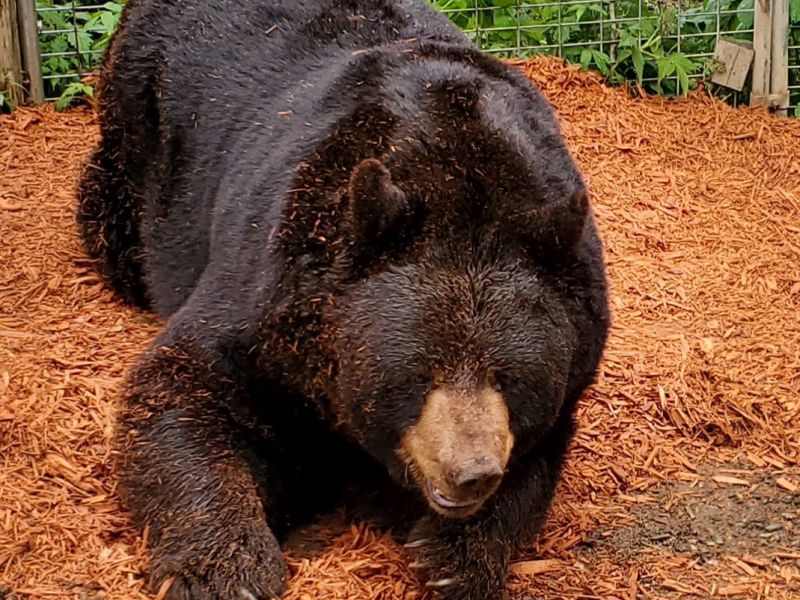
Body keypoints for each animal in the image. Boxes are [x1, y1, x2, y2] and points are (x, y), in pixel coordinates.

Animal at [76, 1, 610, 598]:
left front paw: (453, 558)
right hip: (138, 149)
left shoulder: (575, 332)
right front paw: (224, 569)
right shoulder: (270, 288)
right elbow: (180, 386)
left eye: (510, 377)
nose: (472, 472)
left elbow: (537, 455)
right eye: (418, 373)